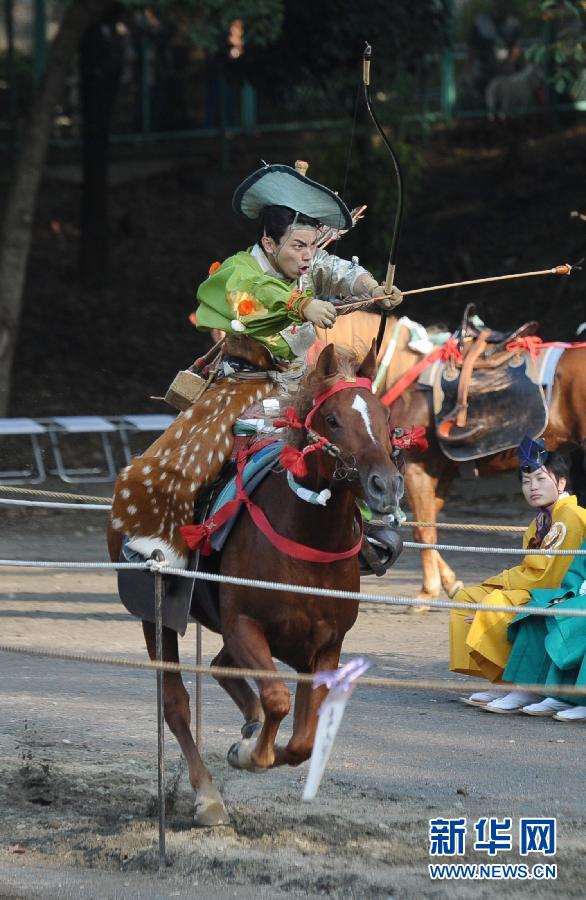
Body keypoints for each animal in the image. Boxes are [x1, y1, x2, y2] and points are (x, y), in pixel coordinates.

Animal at [107, 342, 402, 828]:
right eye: (332, 419)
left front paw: (254, 739)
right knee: (177, 702)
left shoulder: (327, 644)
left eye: (386, 417)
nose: (386, 486)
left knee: (222, 668)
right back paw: (208, 795)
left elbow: (302, 739)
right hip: (157, 617)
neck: (307, 543)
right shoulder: (244, 624)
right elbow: (278, 700)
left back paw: (248, 723)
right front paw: (248, 753)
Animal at [318, 312, 584, 600]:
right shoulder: (439, 474)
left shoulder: (414, 470)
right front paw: (450, 582)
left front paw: (428, 591)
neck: (401, 376)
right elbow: (428, 525)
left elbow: (422, 530)